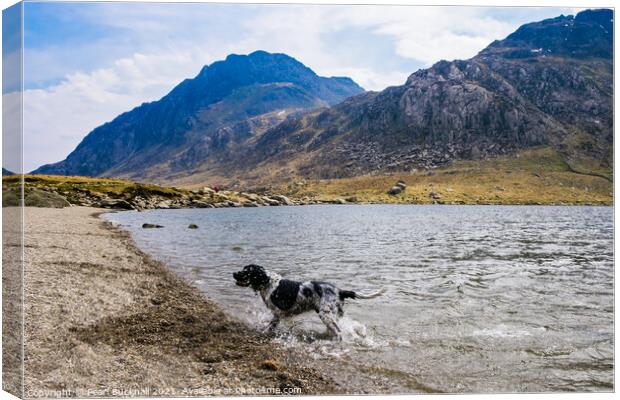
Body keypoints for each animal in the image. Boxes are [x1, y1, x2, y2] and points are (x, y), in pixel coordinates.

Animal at [231, 264, 382, 340]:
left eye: (246, 271)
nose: (233, 273)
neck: (267, 282)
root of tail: (339, 290)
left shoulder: (277, 313)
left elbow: (269, 326)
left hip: (326, 315)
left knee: (338, 331)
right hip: (331, 315)